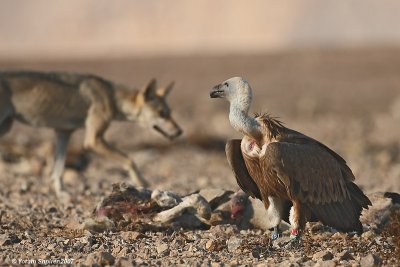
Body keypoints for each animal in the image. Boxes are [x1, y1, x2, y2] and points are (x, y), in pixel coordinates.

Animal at [0, 71, 181, 199]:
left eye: (170, 113)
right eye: (162, 113)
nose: (180, 131)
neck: (112, 97)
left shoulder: (63, 133)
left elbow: (57, 171)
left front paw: (62, 194)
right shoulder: (93, 141)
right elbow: (129, 160)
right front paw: (141, 182)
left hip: (6, 127)